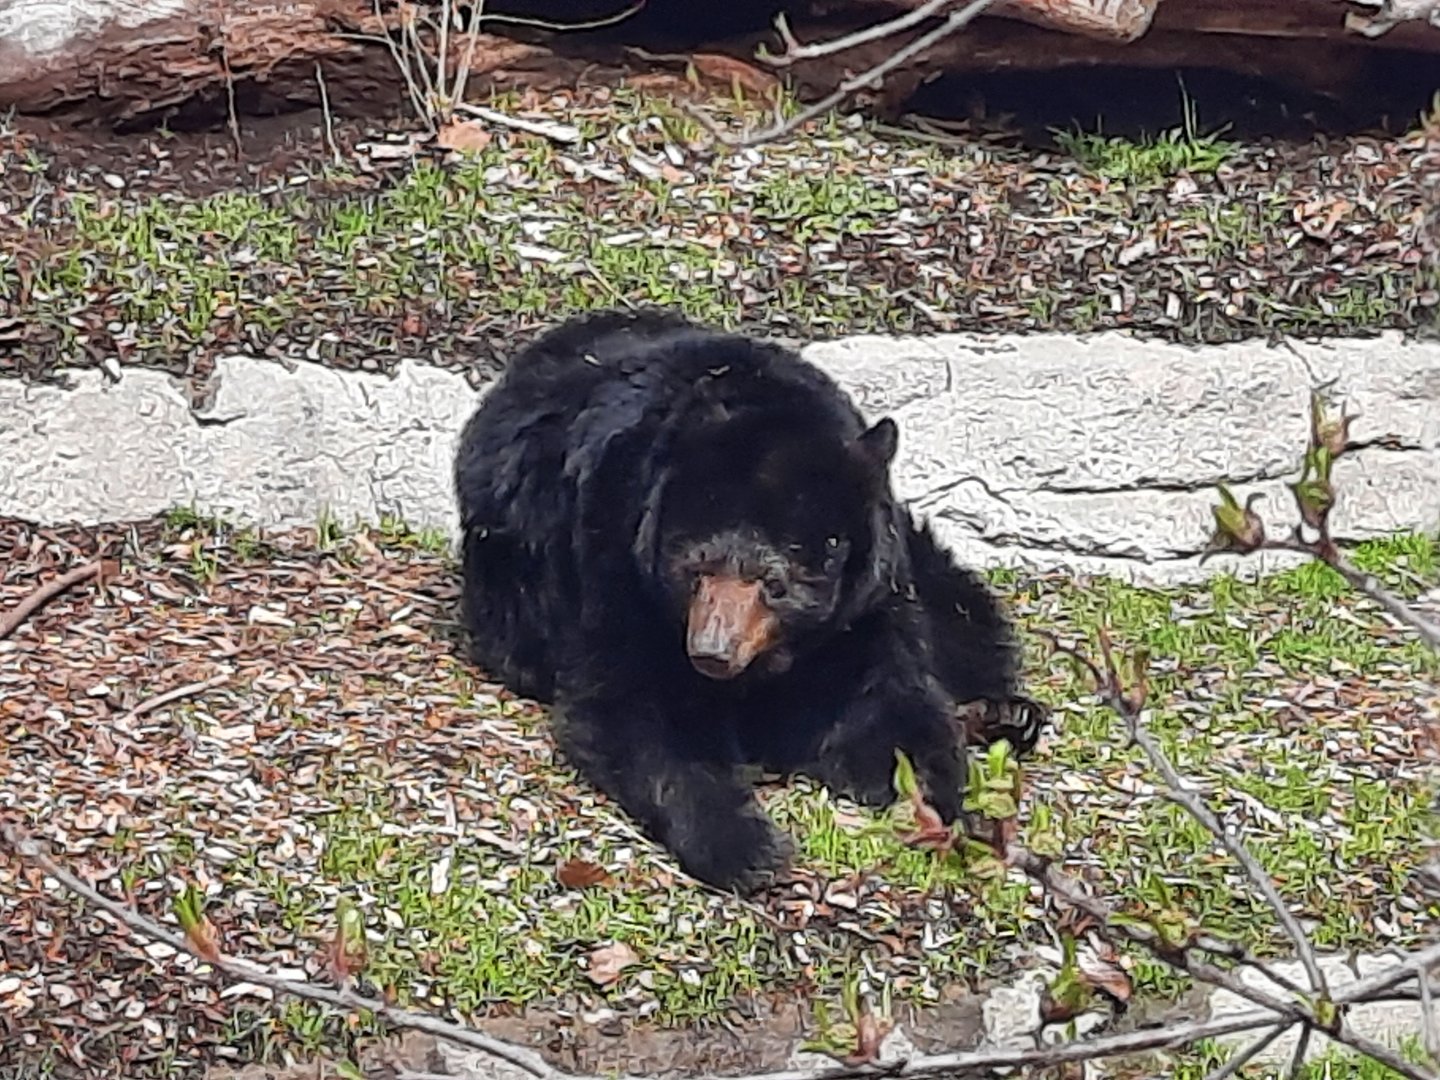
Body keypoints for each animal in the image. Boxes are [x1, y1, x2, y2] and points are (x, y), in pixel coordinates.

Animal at [453, 307, 1038, 893]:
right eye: (695, 568)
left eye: (774, 583)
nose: (712, 651)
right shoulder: (614, 561)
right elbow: (637, 704)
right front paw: (748, 846)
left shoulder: (862, 608)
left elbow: (887, 704)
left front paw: (939, 803)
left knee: (963, 615)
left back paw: (1005, 713)